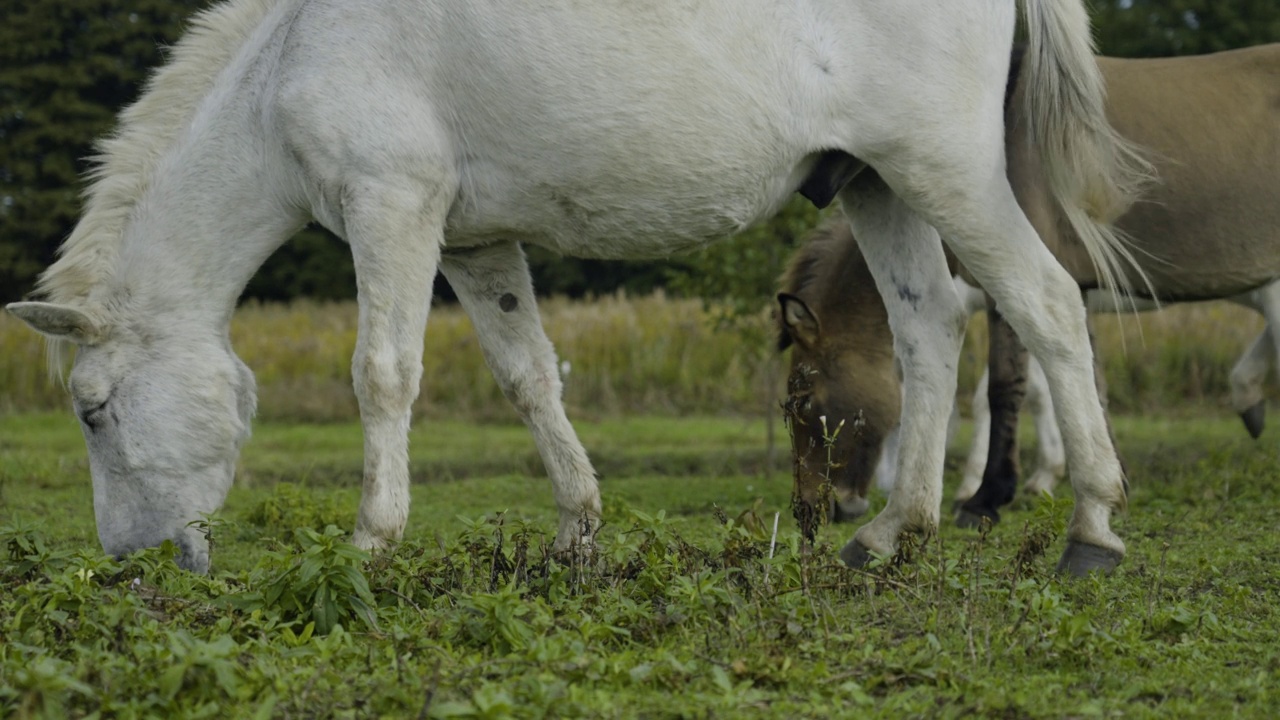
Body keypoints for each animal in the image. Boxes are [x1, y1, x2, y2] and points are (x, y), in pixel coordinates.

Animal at [5, 0, 1146, 571]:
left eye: (94, 410)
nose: (129, 559)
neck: (290, 56)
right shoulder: (473, 245)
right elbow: (528, 378)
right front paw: (575, 531)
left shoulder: (392, 211)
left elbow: (382, 373)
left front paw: (373, 539)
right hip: (876, 184)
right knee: (929, 331)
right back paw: (888, 535)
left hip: (942, 173)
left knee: (1046, 306)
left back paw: (1090, 527)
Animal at [778, 44, 1280, 525]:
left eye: (805, 401)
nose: (823, 508)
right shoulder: (1067, 293)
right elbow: (1086, 385)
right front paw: (1104, 481)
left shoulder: (1009, 291)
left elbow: (1004, 390)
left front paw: (987, 495)